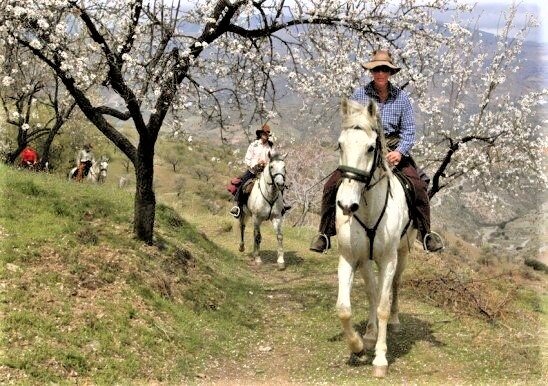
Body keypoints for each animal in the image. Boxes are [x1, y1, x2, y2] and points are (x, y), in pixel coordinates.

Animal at [334, 99, 416, 376]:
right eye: (340, 144)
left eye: (371, 148)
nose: (346, 205)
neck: (368, 208)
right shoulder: (349, 258)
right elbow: (344, 309)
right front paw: (358, 346)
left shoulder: (388, 259)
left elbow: (383, 305)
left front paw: (380, 359)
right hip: (365, 260)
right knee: (372, 290)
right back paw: (370, 334)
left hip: (402, 254)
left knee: (394, 286)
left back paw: (395, 322)